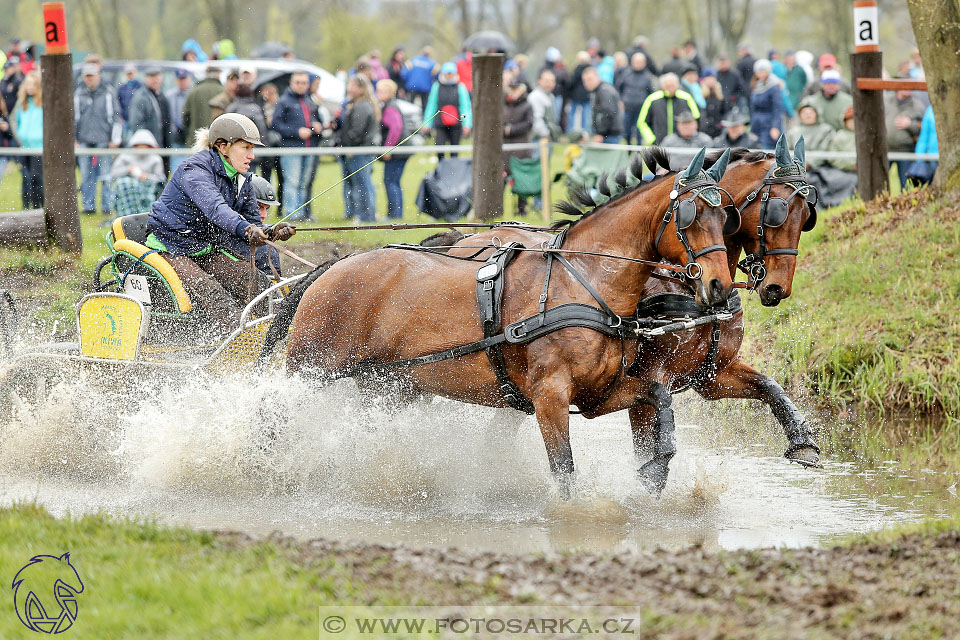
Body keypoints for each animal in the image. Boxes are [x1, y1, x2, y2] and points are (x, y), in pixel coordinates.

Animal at [266, 149, 740, 496]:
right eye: (690, 217)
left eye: (726, 217)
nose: (718, 286)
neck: (581, 281)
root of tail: (333, 265)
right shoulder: (549, 395)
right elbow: (564, 470)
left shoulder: (599, 393)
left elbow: (659, 399)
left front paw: (653, 470)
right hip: (311, 368)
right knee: (274, 412)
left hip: (386, 385)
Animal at [446, 136, 820, 496]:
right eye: (777, 210)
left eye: (807, 217)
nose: (777, 287)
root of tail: (468, 238)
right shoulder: (650, 376)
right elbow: (647, 444)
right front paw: (648, 486)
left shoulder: (711, 376)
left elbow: (769, 386)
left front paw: (802, 440)